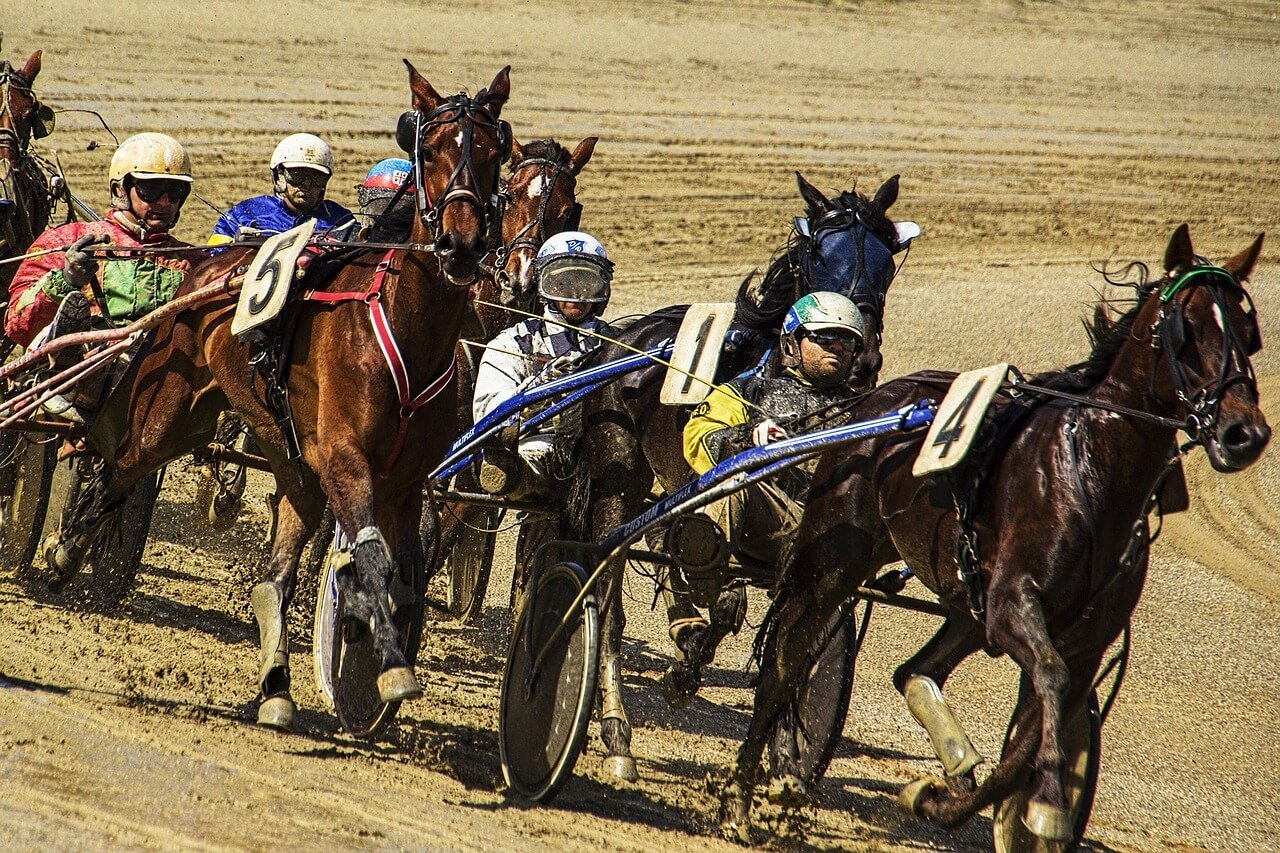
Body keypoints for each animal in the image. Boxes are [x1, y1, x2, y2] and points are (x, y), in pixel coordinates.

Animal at [45, 61, 514, 732]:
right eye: (430, 149)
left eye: (498, 152)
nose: (462, 245)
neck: (405, 325)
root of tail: (209, 264)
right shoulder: (345, 460)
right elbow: (371, 559)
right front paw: (391, 667)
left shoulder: (402, 481)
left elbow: (403, 575)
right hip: (171, 414)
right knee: (119, 468)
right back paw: (64, 550)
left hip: (294, 465)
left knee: (273, 577)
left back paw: (275, 686)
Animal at [558, 171, 911, 778]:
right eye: (821, 253)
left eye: (886, 263)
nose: (860, 355)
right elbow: (726, 599)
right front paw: (685, 667)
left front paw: (786, 748)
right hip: (618, 473)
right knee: (613, 592)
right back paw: (618, 728)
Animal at [721, 222, 1269, 840]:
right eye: (1187, 329)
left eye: (1248, 334)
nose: (1244, 433)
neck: (1089, 473)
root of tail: (872, 407)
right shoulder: (1013, 606)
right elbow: (1050, 683)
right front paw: (1043, 802)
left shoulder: (1087, 637)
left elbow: (1035, 731)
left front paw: (953, 802)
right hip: (832, 562)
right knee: (785, 662)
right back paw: (738, 798)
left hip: (962, 600)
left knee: (914, 671)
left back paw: (953, 766)